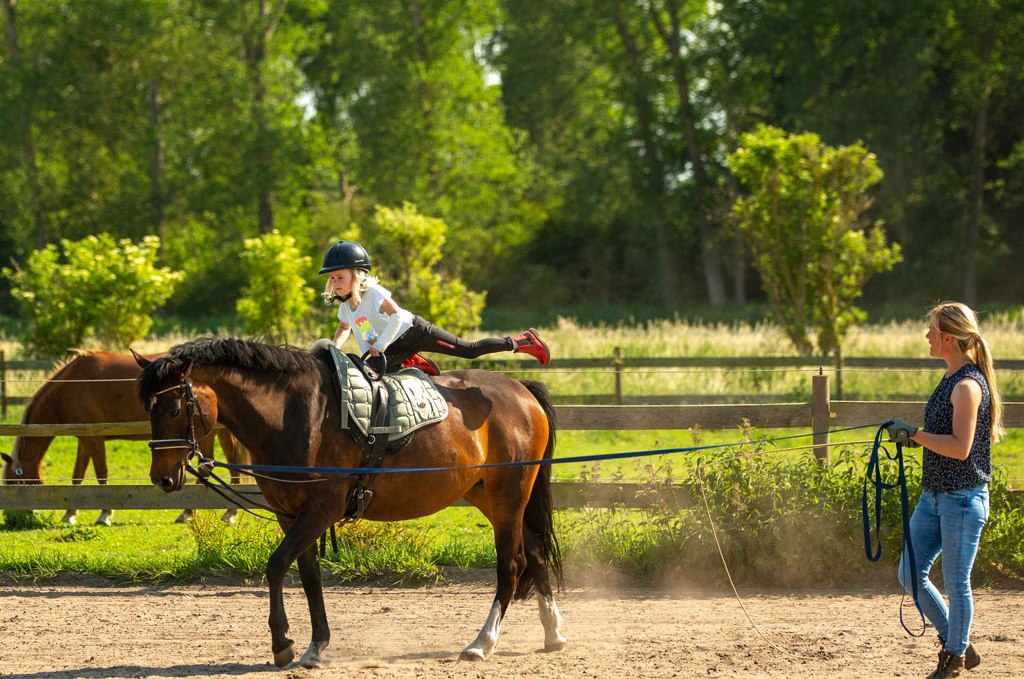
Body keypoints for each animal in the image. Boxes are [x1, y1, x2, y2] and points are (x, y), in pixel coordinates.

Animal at [1, 350, 244, 524]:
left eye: (13, 481)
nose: (16, 517)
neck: (72, 385)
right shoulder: (84, 439)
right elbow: (78, 476)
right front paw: (70, 513)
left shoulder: (94, 439)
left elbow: (101, 474)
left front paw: (105, 514)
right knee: (207, 469)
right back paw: (193, 511)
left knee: (228, 465)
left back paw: (225, 513)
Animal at [134, 337, 569, 667]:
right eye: (148, 409)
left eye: (175, 407)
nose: (161, 477)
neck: (295, 413)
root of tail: (521, 390)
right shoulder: (290, 514)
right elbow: (309, 576)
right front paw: (315, 645)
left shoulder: (320, 510)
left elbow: (276, 565)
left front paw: (282, 644)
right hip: (492, 499)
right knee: (534, 554)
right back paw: (553, 633)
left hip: (508, 497)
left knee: (511, 565)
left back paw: (482, 643)